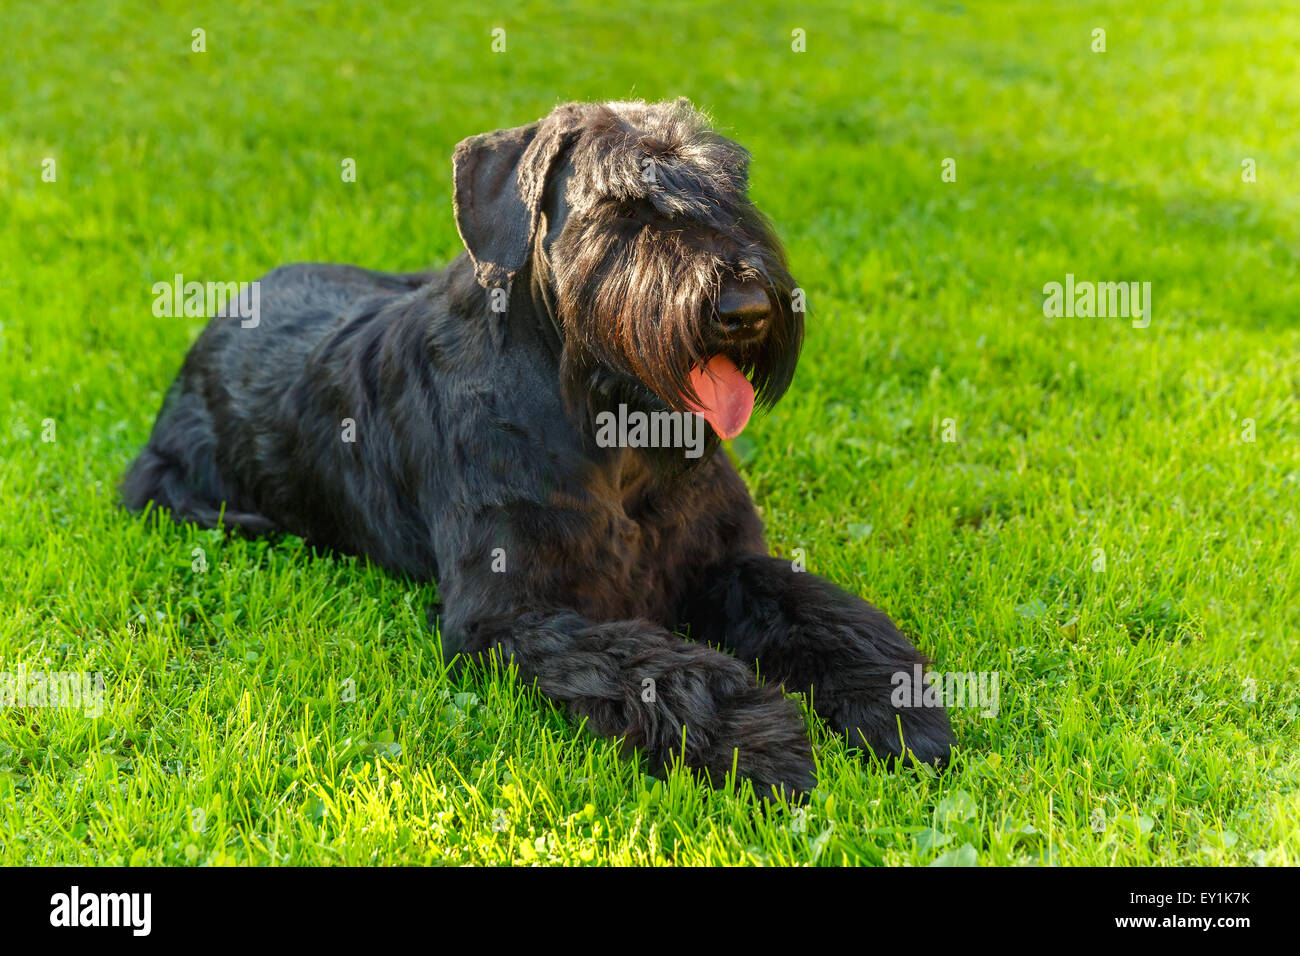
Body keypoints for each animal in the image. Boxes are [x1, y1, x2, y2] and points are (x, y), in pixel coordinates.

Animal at [124, 100, 956, 796]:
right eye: (623, 206)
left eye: (731, 187)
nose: (746, 308)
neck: (613, 434)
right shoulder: (511, 615)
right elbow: (662, 667)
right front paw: (760, 737)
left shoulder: (725, 561)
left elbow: (823, 612)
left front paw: (896, 702)